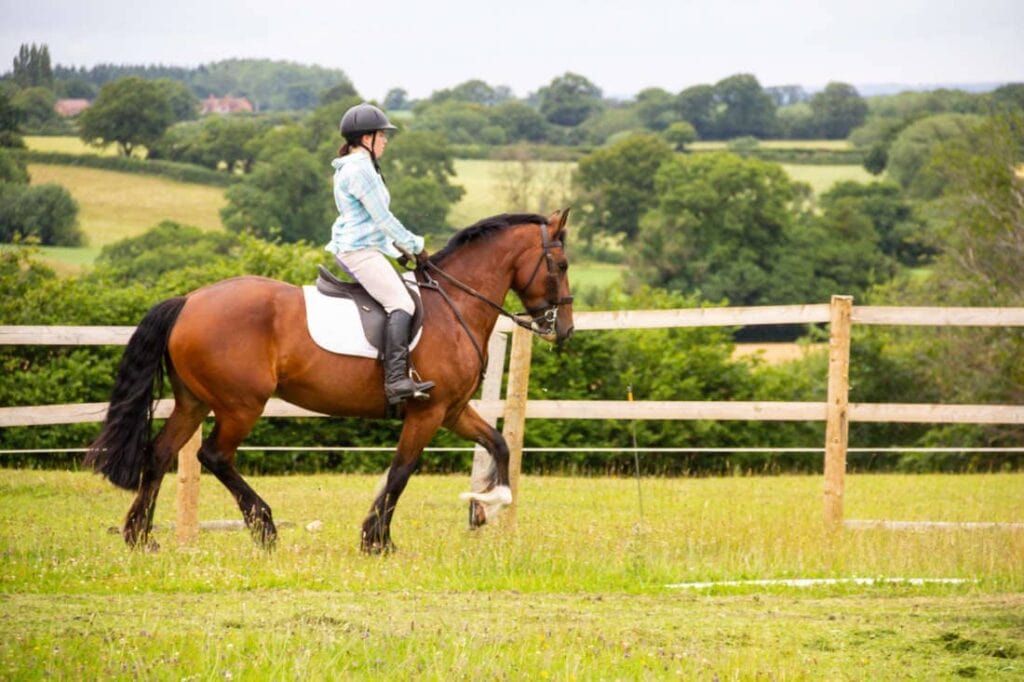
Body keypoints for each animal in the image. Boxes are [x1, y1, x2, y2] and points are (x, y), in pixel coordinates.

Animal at [85, 209, 575, 553]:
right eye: (562, 264)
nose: (564, 329)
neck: (455, 304)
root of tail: (188, 300)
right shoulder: (428, 410)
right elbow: (403, 469)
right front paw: (377, 540)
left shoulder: (452, 410)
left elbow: (499, 443)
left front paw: (487, 507)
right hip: (240, 404)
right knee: (215, 456)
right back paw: (264, 528)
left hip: (194, 401)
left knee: (160, 453)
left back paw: (141, 536)